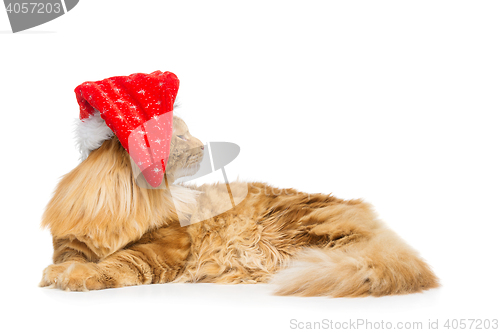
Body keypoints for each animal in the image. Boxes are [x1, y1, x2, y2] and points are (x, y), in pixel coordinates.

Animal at [40, 115, 438, 294]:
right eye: (179, 136)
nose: (202, 145)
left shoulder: (163, 248)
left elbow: (117, 263)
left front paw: (73, 277)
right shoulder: (70, 243)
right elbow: (72, 257)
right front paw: (57, 273)